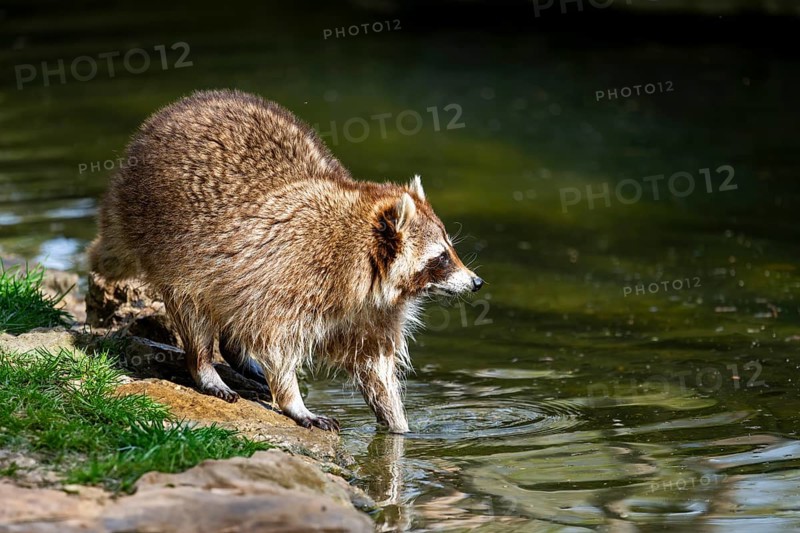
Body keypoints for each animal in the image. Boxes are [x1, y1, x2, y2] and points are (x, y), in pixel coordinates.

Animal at [88, 89, 483, 433]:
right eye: (441, 258)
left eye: (450, 251)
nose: (476, 282)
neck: (362, 260)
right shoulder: (294, 275)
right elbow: (275, 341)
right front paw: (293, 401)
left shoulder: (371, 311)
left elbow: (374, 365)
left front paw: (397, 424)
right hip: (167, 237)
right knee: (193, 306)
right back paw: (204, 367)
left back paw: (234, 354)